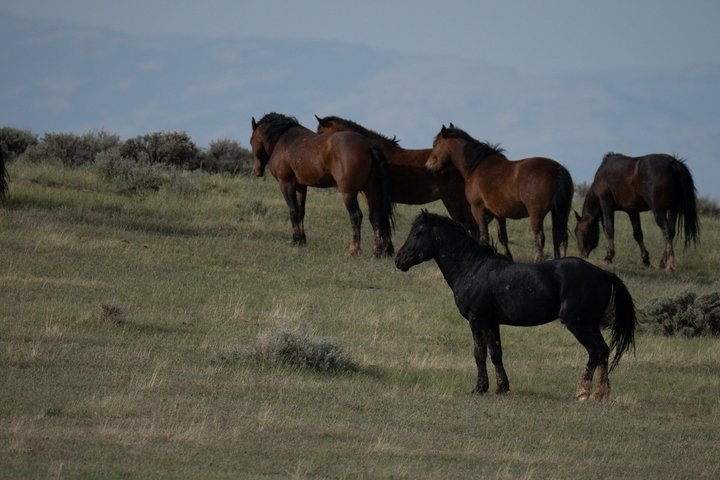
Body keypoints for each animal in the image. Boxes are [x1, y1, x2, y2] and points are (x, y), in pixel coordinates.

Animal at [395, 211, 637, 400]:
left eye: (417, 233)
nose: (399, 260)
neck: (472, 268)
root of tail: (603, 274)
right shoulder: (492, 323)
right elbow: (496, 353)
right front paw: (501, 387)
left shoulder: (476, 319)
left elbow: (479, 353)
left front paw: (479, 388)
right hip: (592, 325)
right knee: (604, 351)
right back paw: (600, 393)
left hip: (579, 325)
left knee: (594, 351)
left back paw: (583, 392)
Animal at [426, 124, 573, 262]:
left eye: (435, 145)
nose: (428, 166)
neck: (476, 167)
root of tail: (557, 169)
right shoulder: (498, 213)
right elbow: (502, 237)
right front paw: (508, 257)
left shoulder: (478, 209)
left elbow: (484, 236)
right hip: (562, 212)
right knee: (563, 238)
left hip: (536, 215)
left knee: (539, 238)